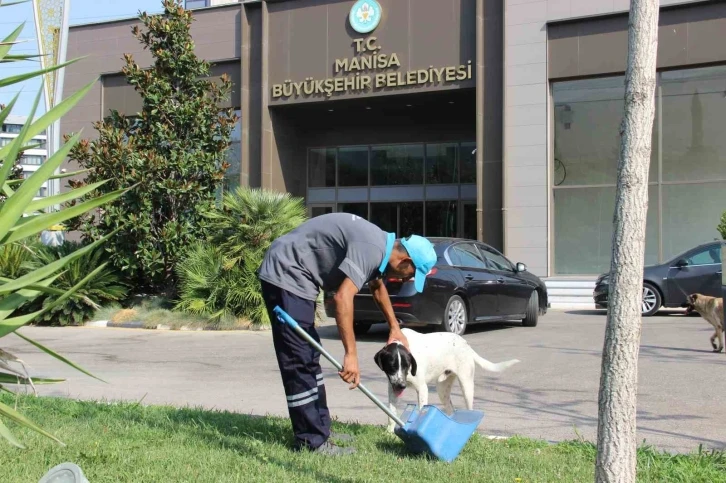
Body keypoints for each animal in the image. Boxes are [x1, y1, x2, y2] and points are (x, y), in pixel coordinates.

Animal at [376, 328, 516, 432]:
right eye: (392, 366)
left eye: (407, 365)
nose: (402, 386)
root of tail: (466, 344)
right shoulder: (392, 389)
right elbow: (391, 413)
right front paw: (389, 432)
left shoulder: (422, 389)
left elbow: (421, 410)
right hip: (442, 390)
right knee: (451, 411)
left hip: (466, 386)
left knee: (470, 410)